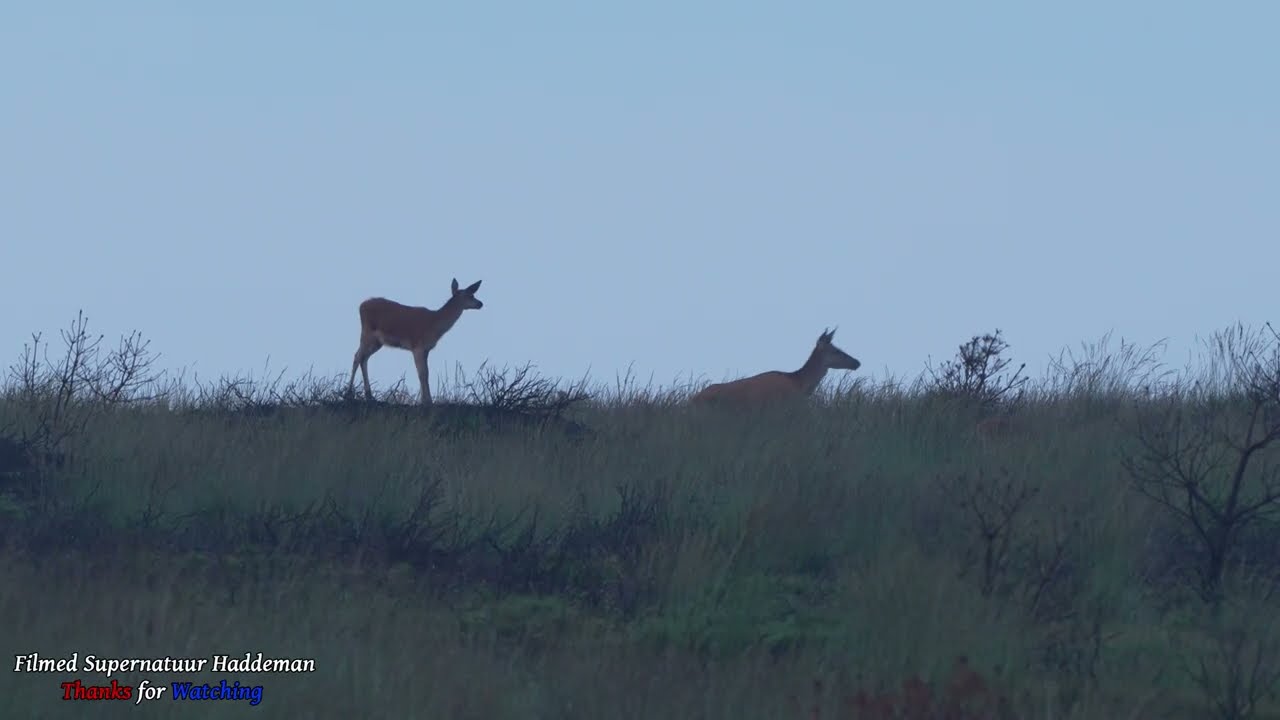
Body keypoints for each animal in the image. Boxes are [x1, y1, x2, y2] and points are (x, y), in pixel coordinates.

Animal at [348, 278, 484, 405]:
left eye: (473, 294)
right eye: (470, 295)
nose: (480, 303)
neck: (434, 325)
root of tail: (361, 306)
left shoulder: (426, 349)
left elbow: (425, 373)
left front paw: (425, 399)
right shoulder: (417, 346)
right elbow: (423, 373)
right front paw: (427, 401)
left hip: (377, 342)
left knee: (364, 358)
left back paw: (369, 396)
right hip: (367, 333)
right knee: (357, 356)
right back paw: (349, 393)